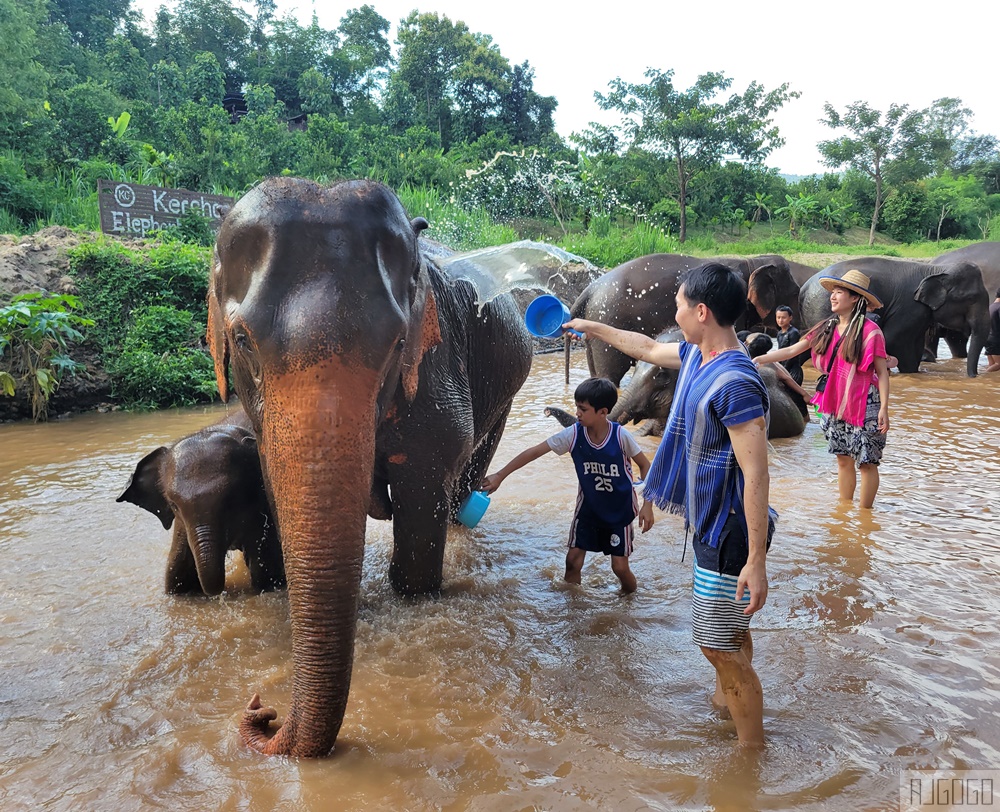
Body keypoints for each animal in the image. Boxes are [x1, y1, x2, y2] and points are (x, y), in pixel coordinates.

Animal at [206, 177, 533, 757]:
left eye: (399, 343)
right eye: (242, 340)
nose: (262, 709)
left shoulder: (436, 379)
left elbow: (422, 496)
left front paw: (414, 591)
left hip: (506, 391)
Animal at [798, 257, 990, 377]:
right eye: (971, 298)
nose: (974, 376)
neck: (936, 270)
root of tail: (804, 287)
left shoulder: (921, 314)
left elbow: (915, 344)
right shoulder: (909, 308)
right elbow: (894, 340)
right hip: (823, 306)